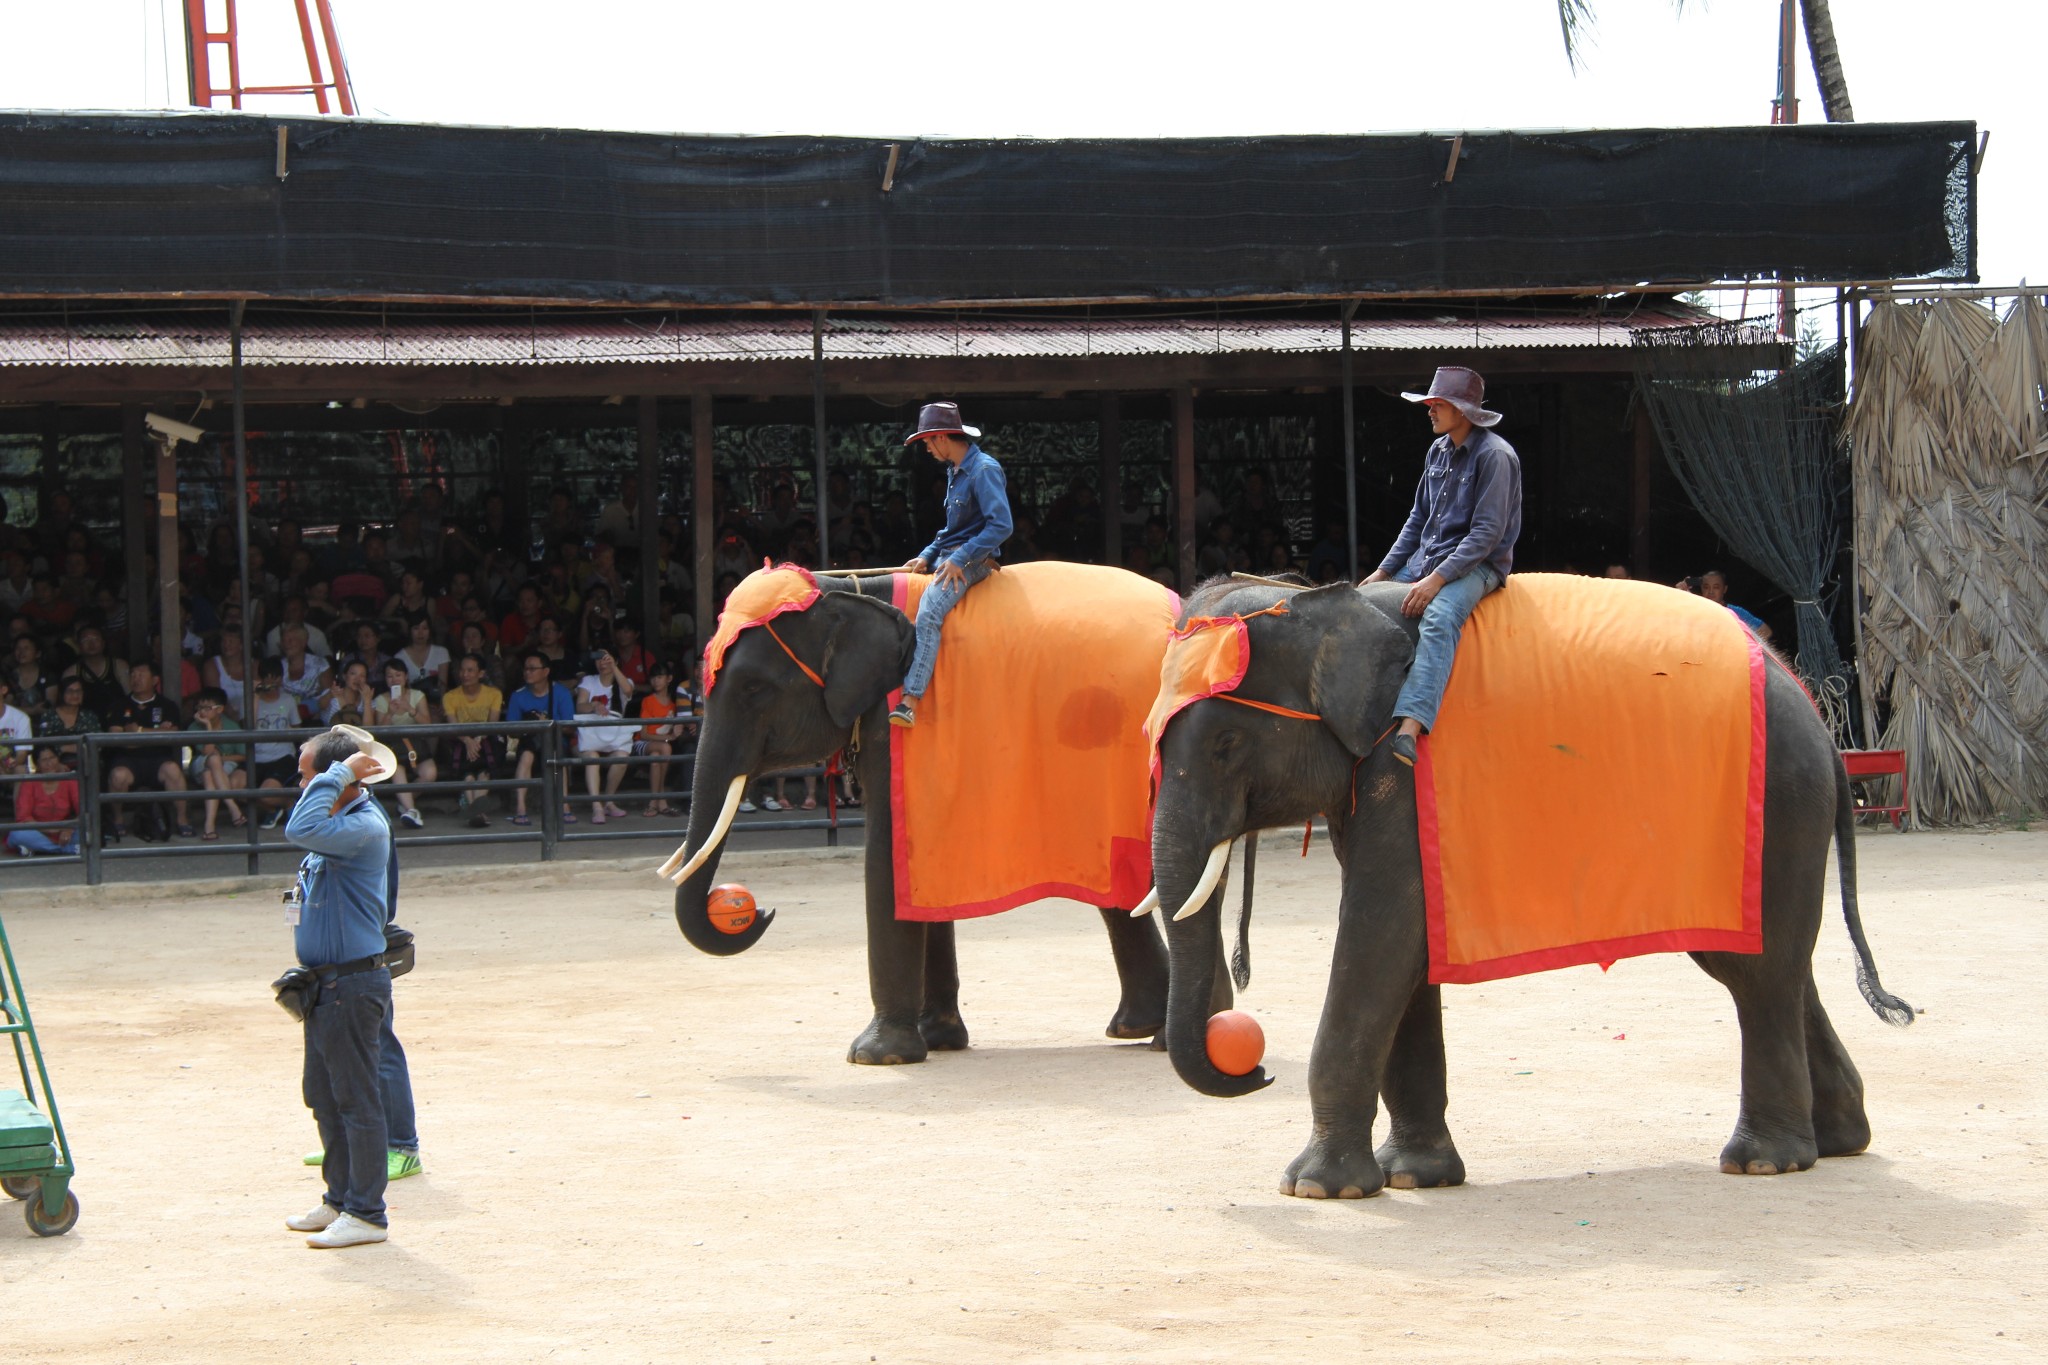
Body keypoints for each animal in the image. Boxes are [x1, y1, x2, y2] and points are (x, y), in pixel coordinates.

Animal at [663, 564, 1204, 1064]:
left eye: (753, 689)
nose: (756, 910)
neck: (849, 591)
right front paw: (939, 1041)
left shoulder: (899, 724)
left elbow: (887, 858)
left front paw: (876, 1055)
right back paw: (1138, 1029)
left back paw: (1163, 1040)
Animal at [1146, 581, 1908, 1203]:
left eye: (1224, 745)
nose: (1252, 1066)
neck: (1322, 595)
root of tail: (1816, 713)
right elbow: (1410, 954)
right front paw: (1413, 1175)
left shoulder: (1402, 762)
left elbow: (1381, 937)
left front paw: (1317, 1188)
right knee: (1772, 966)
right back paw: (1837, 1141)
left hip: (1777, 803)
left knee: (1758, 974)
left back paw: (1763, 1162)